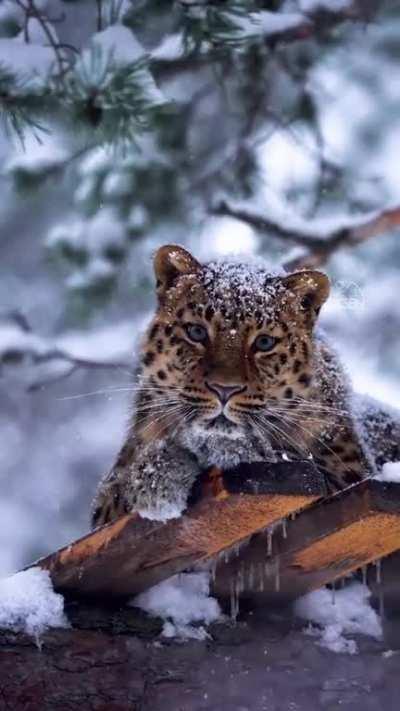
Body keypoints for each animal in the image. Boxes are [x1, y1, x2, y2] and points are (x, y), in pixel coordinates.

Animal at [91, 244, 400, 527]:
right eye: (196, 332)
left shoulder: (348, 473)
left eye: (264, 342)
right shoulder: (106, 499)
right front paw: (154, 479)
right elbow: (119, 488)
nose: (224, 389)